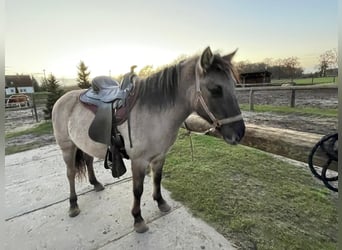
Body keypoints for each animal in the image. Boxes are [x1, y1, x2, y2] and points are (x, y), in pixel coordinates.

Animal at [50, 46, 244, 232]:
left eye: (234, 86)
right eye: (215, 89)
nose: (240, 133)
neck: (153, 114)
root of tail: (62, 99)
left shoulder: (160, 156)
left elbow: (157, 179)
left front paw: (161, 203)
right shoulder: (139, 161)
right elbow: (138, 190)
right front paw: (138, 219)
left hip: (83, 144)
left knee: (89, 161)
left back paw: (96, 184)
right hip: (67, 147)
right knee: (70, 174)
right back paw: (73, 204)